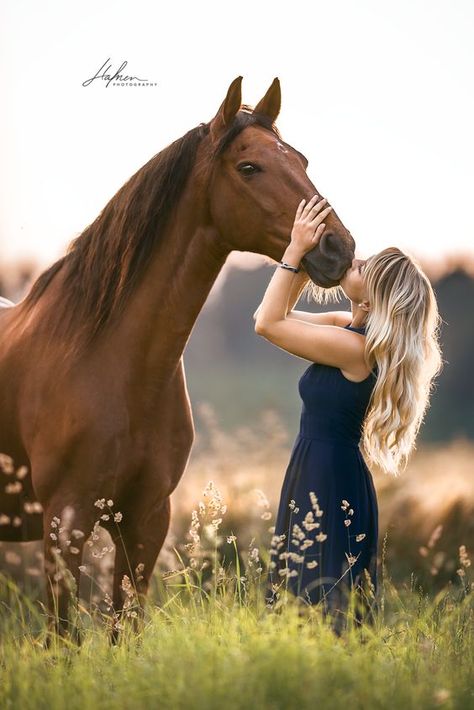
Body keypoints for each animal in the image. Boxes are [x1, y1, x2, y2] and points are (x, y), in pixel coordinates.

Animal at [0, 75, 356, 636]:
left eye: (301, 159)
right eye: (249, 166)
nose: (338, 249)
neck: (108, 362)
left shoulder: (146, 521)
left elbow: (126, 629)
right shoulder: (65, 522)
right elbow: (64, 638)